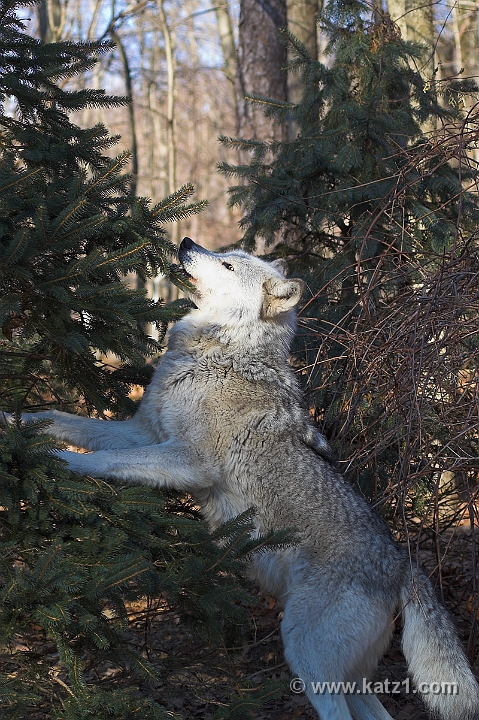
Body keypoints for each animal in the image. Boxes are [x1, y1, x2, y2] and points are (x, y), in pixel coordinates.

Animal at [4, 237, 479, 720]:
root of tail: (402, 566)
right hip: (348, 678)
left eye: (229, 264)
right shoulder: (143, 432)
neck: (219, 352)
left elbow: (105, 461)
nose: (186, 242)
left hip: (305, 654)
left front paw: (58, 463)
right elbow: (65, 420)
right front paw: (18, 423)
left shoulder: (188, 460)